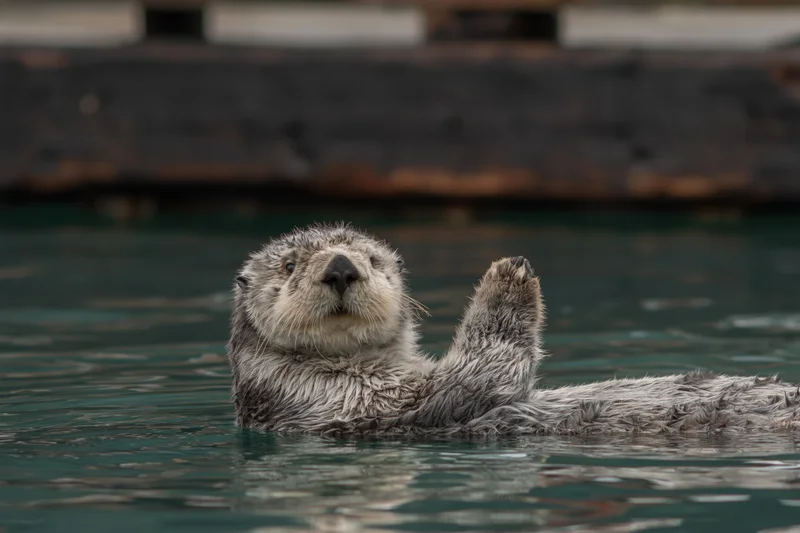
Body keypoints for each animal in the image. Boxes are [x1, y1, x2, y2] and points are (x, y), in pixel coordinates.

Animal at [227, 222, 800, 436]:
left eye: (373, 260)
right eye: (289, 265)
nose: (342, 267)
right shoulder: (353, 403)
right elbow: (478, 375)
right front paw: (509, 274)